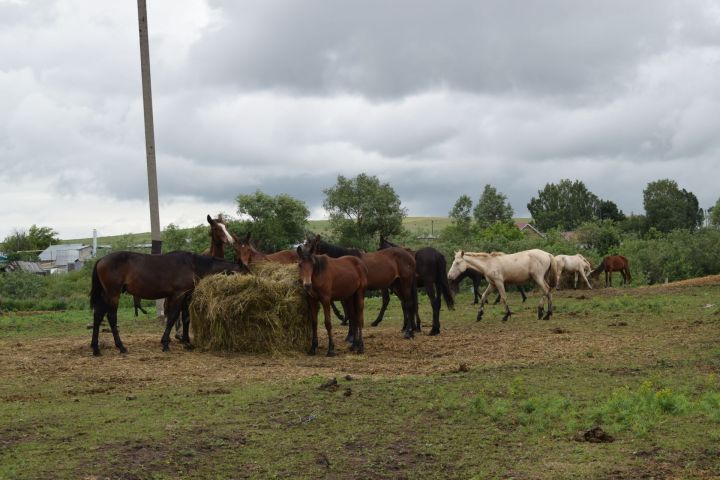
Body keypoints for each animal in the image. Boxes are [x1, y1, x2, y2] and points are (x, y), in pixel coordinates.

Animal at [89, 249, 248, 354]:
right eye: (245, 272)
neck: (193, 265)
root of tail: (101, 260)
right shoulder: (178, 295)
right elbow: (172, 318)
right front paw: (166, 344)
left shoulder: (184, 296)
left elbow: (185, 318)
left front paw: (186, 341)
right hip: (113, 294)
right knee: (111, 317)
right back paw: (121, 347)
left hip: (106, 295)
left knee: (98, 316)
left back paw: (96, 348)